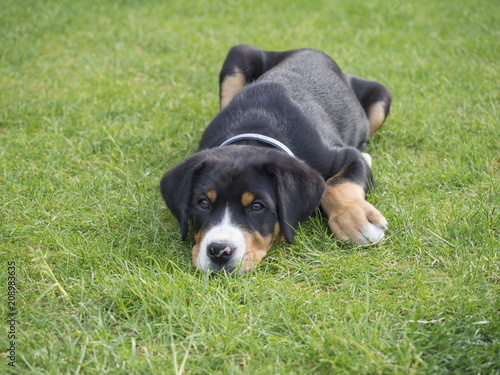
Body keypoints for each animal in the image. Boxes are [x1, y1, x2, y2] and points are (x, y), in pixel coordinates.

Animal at [160, 44, 390, 274]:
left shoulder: (346, 156)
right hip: (239, 54)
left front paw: (356, 218)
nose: (218, 251)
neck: (256, 128)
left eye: (257, 206)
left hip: (381, 95)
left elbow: (337, 184)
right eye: (203, 203)